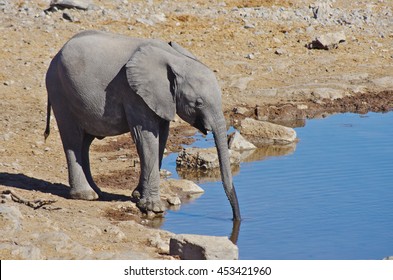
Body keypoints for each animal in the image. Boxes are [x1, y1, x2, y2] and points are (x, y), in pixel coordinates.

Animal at [44, 30, 240, 221]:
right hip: (60, 91)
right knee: (73, 140)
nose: (236, 219)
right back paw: (86, 195)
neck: (175, 59)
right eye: (198, 103)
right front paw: (154, 208)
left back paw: (97, 192)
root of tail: (56, 56)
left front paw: (138, 196)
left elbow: (161, 137)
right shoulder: (134, 93)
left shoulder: (162, 98)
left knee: (85, 142)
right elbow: (146, 137)